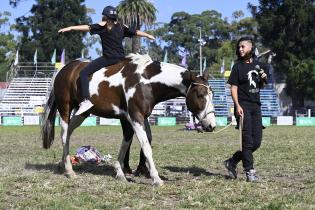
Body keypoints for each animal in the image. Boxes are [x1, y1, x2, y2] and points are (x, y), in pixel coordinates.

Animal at [42, 53, 217, 186]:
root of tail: (64, 69)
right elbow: (146, 146)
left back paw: (63, 164)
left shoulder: (130, 119)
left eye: (212, 94)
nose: (212, 125)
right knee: (64, 134)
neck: (146, 81)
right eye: (200, 94)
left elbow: (126, 144)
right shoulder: (135, 117)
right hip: (65, 108)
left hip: (82, 113)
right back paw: (69, 171)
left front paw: (121, 172)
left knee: (69, 133)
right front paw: (156, 178)